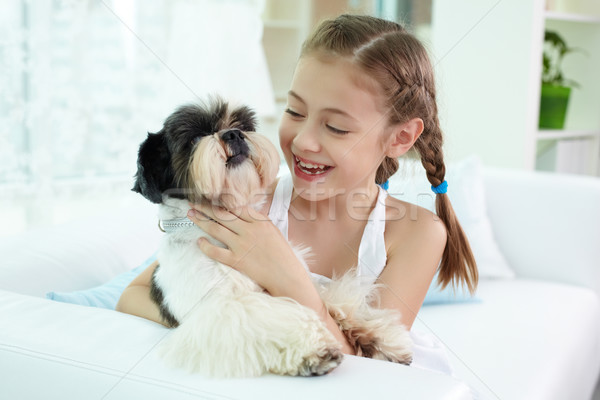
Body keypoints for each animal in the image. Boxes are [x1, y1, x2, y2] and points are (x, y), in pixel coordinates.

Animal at [131, 97, 412, 378]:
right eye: (195, 138)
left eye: (243, 125)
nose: (233, 134)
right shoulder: (221, 309)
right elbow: (269, 317)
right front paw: (313, 348)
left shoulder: (294, 279)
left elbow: (331, 297)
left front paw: (377, 334)